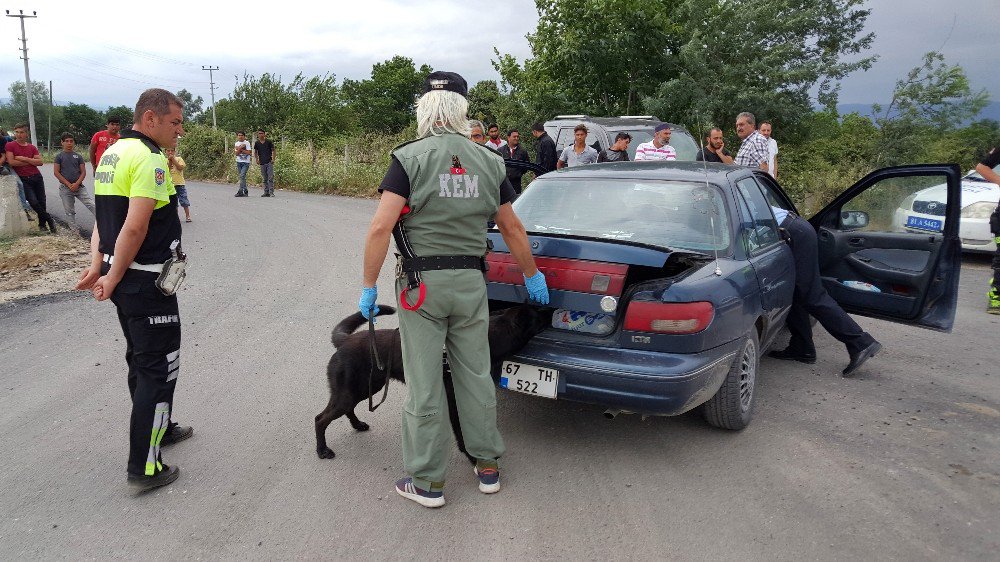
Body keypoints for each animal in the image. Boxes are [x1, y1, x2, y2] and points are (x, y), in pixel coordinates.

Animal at [316, 304, 552, 458]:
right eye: (538, 316)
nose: (550, 311)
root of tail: (344, 340)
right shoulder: (456, 401)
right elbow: (462, 432)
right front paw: (471, 454)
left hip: (366, 388)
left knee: (346, 410)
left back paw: (357, 425)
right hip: (352, 392)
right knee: (320, 418)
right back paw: (322, 450)